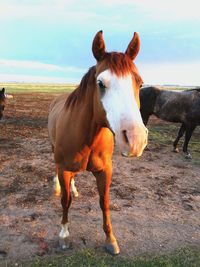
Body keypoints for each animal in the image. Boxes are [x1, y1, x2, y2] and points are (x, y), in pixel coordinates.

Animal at [48, 30, 148, 255]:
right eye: (101, 83)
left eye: (139, 83)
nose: (135, 139)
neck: (88, 136)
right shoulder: (65, 168)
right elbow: (65, 201)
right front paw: (64, 235)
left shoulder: (105, 171)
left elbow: (104, 202)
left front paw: (110, 239)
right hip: (55, 152)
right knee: (56, 169)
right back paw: (57, 186)